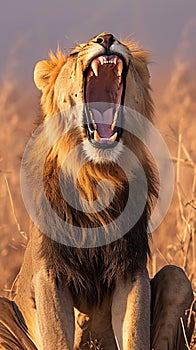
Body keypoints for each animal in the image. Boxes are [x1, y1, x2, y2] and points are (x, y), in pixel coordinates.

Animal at [0, 32, 194, 350]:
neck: (95, 177)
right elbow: (57, 338)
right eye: (73, 54)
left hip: (178, 278)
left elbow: (134, 333)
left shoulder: (130, 268)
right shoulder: (49, 272)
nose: (106, 37)